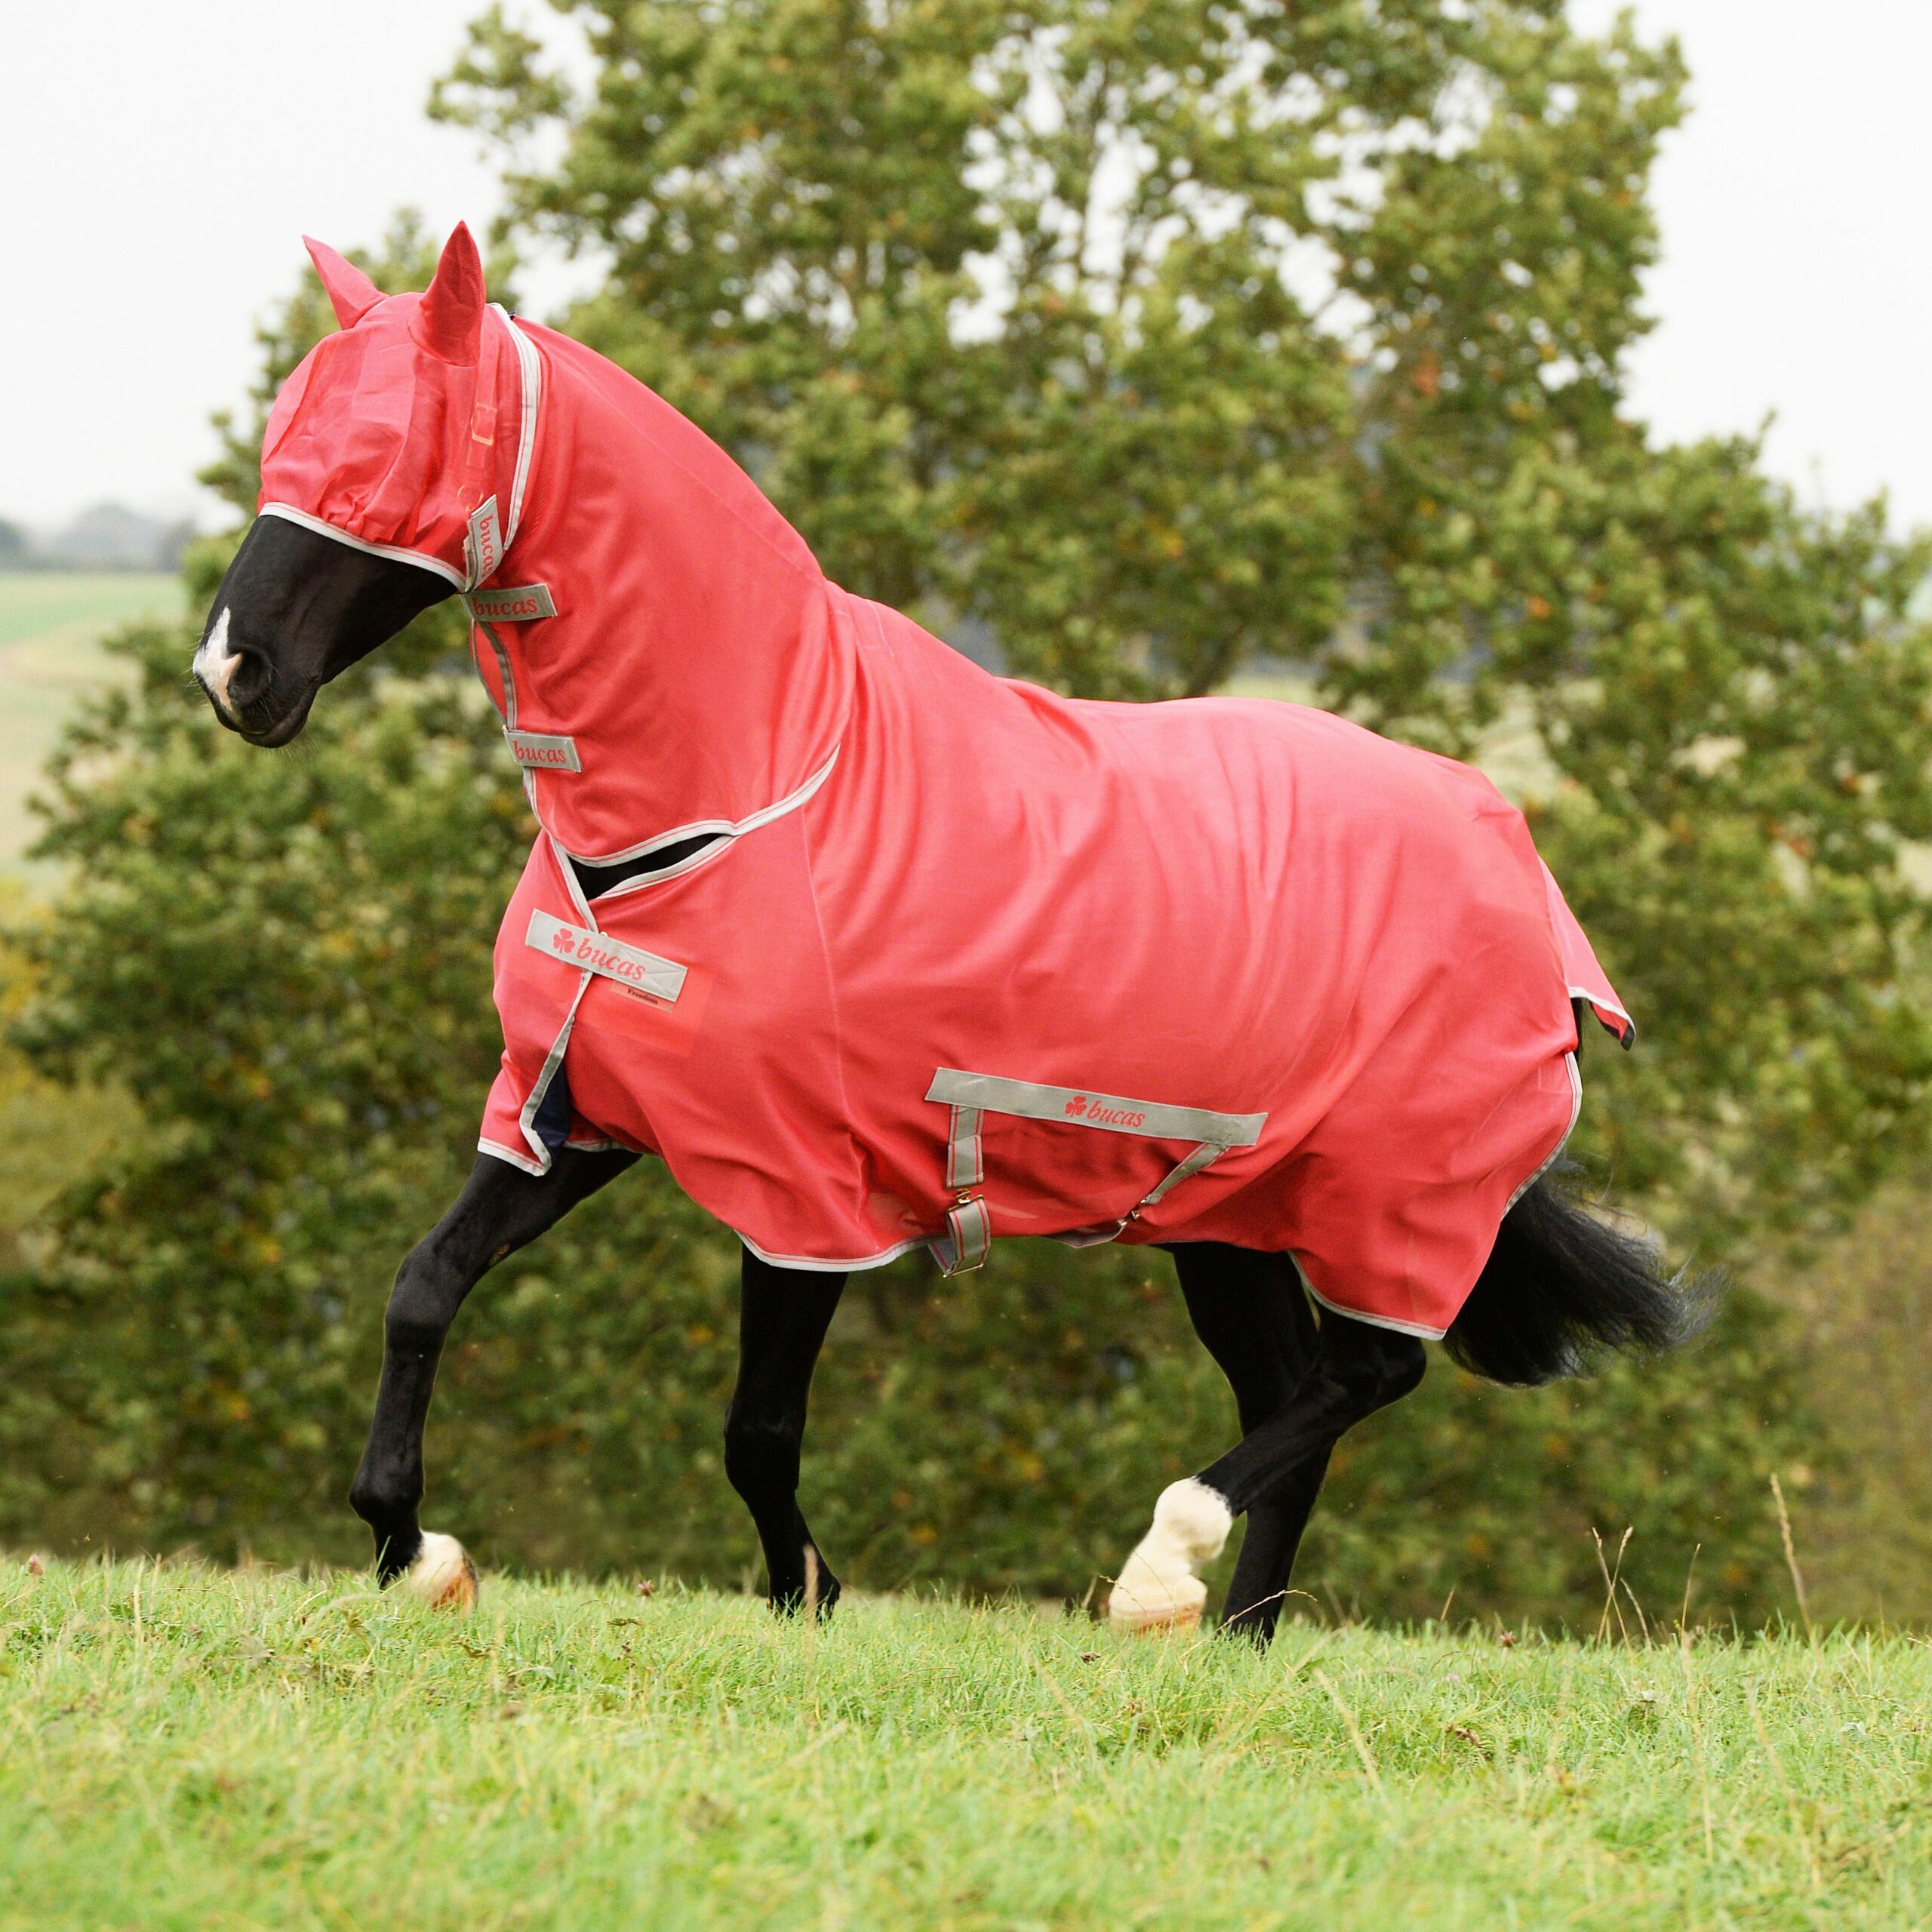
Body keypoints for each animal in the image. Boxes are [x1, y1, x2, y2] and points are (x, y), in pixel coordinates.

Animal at [195, 226, 1708, 1646]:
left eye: (391, 446)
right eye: (286, 431)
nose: (232, 672)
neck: (747, 789)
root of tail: (1523, 877)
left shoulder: (801, 1188)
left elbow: (755, 1429)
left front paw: (806, 1595)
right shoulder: (572, 1117)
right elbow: (422, 1288)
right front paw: (416, 1553)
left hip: (1390, 1200)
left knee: (1371, 1370)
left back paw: (1162, 1570)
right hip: (1228, 1211)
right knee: (1304, 1391)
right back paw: (1236, 1633)